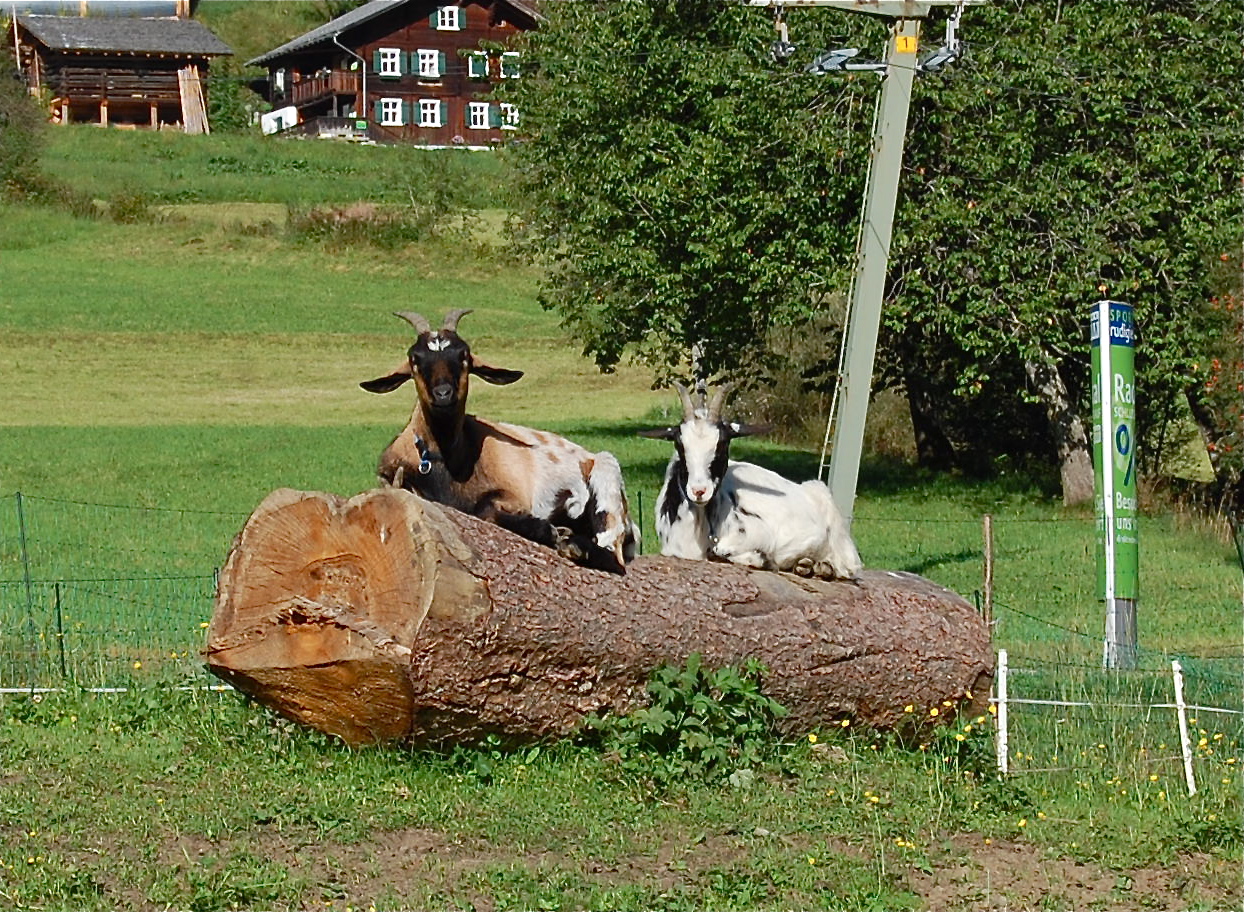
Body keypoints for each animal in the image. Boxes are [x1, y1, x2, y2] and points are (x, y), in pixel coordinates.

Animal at [636, 383, 860, 577]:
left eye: (723, 444)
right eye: (679, 445)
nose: (699, 491)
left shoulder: (766, 534)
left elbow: (728, 551)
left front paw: (763, 559)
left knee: (848, 565)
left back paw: (822, 566)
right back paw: (807, 565)